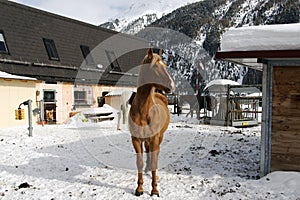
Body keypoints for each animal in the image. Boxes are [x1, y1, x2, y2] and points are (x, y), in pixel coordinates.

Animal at [127, 48, 175, 197]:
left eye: (165, 65)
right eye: (154, 66)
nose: (172, 86)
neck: (143, 111)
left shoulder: (154, 138)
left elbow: (154, 160)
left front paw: (154, 190)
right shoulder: (136, 140)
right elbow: (139, 162)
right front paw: (139, 188)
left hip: (159, 137)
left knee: (156, 154)